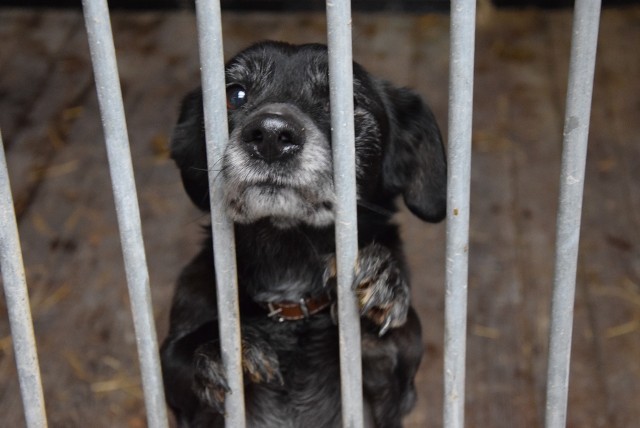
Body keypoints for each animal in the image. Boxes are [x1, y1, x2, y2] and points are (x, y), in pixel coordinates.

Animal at [160, 41, 448, 428]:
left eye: (345, 103)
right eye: (234, 94)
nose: (270, 134)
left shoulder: (397, 388)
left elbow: (400, 334)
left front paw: (382, 282)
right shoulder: (177, 385)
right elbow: (180, 352)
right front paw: (226, 348)